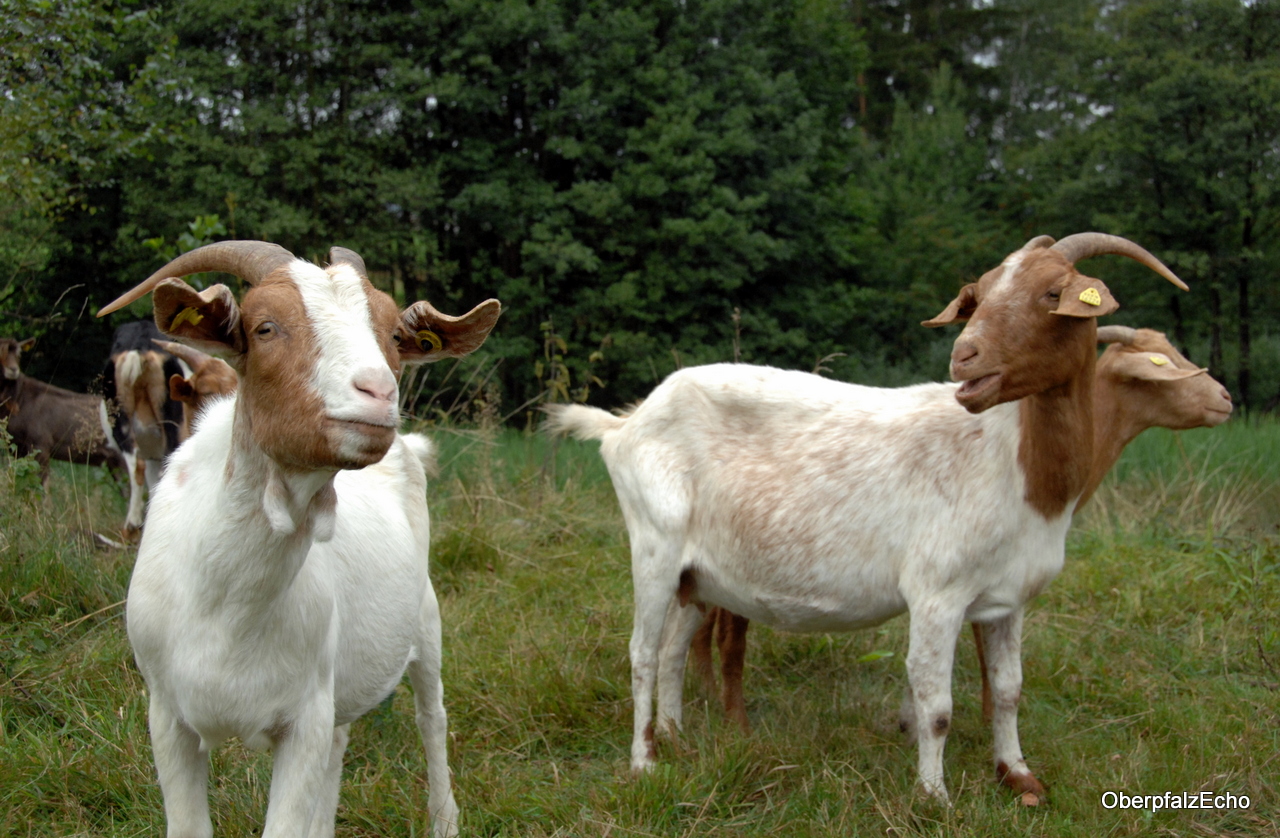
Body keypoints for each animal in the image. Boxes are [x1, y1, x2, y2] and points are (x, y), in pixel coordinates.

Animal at [98, 240, 501, 837]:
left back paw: (444, 820)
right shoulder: (167, 716)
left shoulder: (303, 717)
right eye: (265, 327)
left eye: (392, 335)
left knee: (432, 717)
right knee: (341, 746)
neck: (226, 606)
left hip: (424, 622)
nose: (378, 392)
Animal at [688, 325, 1232, 745]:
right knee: (728, 639)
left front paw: (919, 720)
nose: (1225, 399)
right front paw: (982, 721)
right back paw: (733, 723)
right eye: (1161, 363)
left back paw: (705, 698)